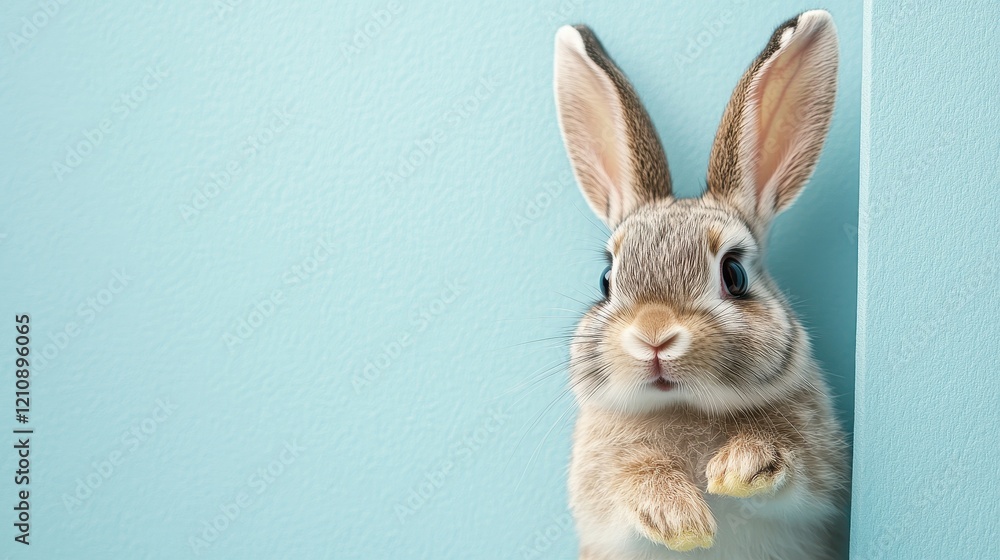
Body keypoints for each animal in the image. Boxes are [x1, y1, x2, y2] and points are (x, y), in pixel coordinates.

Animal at [552, 9, 848, 560]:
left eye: (734, 273)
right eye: (606, 279)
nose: (653, 335)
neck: (682, 403)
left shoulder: (823, 483)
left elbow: (798, 473)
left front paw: (736, 470)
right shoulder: (600, 499)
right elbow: (627, 483)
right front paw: (680, 517)